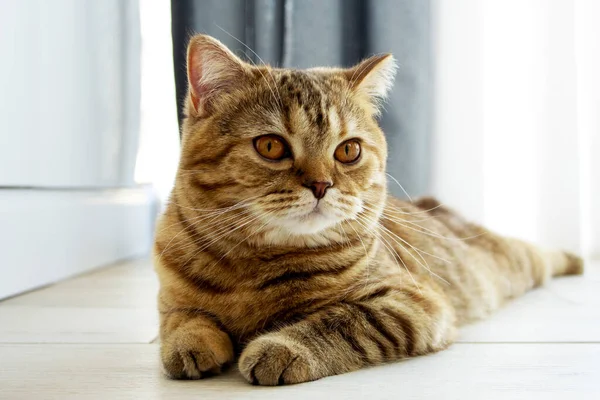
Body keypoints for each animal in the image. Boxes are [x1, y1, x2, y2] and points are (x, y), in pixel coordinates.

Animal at [152, 34, 584, 384]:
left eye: (348, 150)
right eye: (271, 146)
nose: (321, 185)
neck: (253, 264)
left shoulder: (411, 301)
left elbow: (342, 321)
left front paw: (282, 347)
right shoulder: (171, 296)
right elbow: (181, 318)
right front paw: (190, 342)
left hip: (509, 265)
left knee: (539, 254)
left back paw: (575, 260)